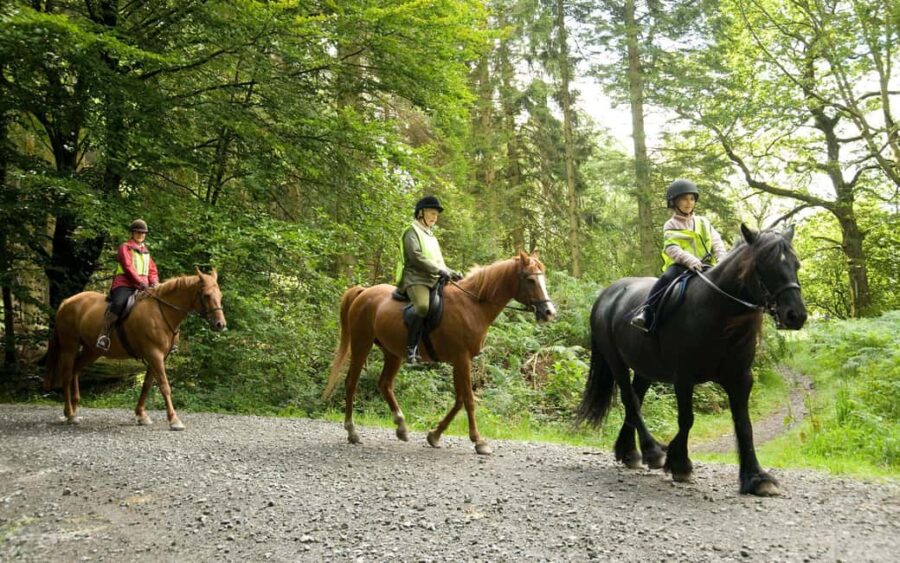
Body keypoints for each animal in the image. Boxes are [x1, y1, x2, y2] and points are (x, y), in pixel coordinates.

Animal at [44, 268, 226, 430]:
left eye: (220, 296)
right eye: (206, 295)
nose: (220, 324)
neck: (161, 312)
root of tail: (67, 302)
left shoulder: (158, 357)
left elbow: (147, 385)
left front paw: (141, 415)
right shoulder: (154, 355)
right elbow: (164, 386)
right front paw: (174, 420)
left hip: (92, 351)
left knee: (76, 368)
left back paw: (74, 409)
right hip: (69, 346)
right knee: (67, 375)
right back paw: (69, 414)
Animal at [324, 251, 556, 455]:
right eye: (530, 280)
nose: (549, 312)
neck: (472, 306)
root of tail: (363, 292)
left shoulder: (459, 360)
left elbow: (460, 400)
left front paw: (434, 436)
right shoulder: (462, 359)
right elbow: (469, 399)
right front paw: (479, 442)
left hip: (393, 352)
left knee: (385, 384)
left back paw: (401, 427)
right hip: (361, 344)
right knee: (351, 383)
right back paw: (352, 431)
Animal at [577, 224, 807, 496]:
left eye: (796, 264)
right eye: (764, 264)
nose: (796, 315)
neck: (718, 314)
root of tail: (605, 295)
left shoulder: (740, 379)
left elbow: (743, 424)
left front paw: (756, 477)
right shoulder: (683, 378)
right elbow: (687, 419)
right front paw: (679, 463)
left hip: (645, 368)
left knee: (636, 399)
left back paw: (630, 451)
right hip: (616, 361)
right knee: (630, 400)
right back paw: (652, 451)